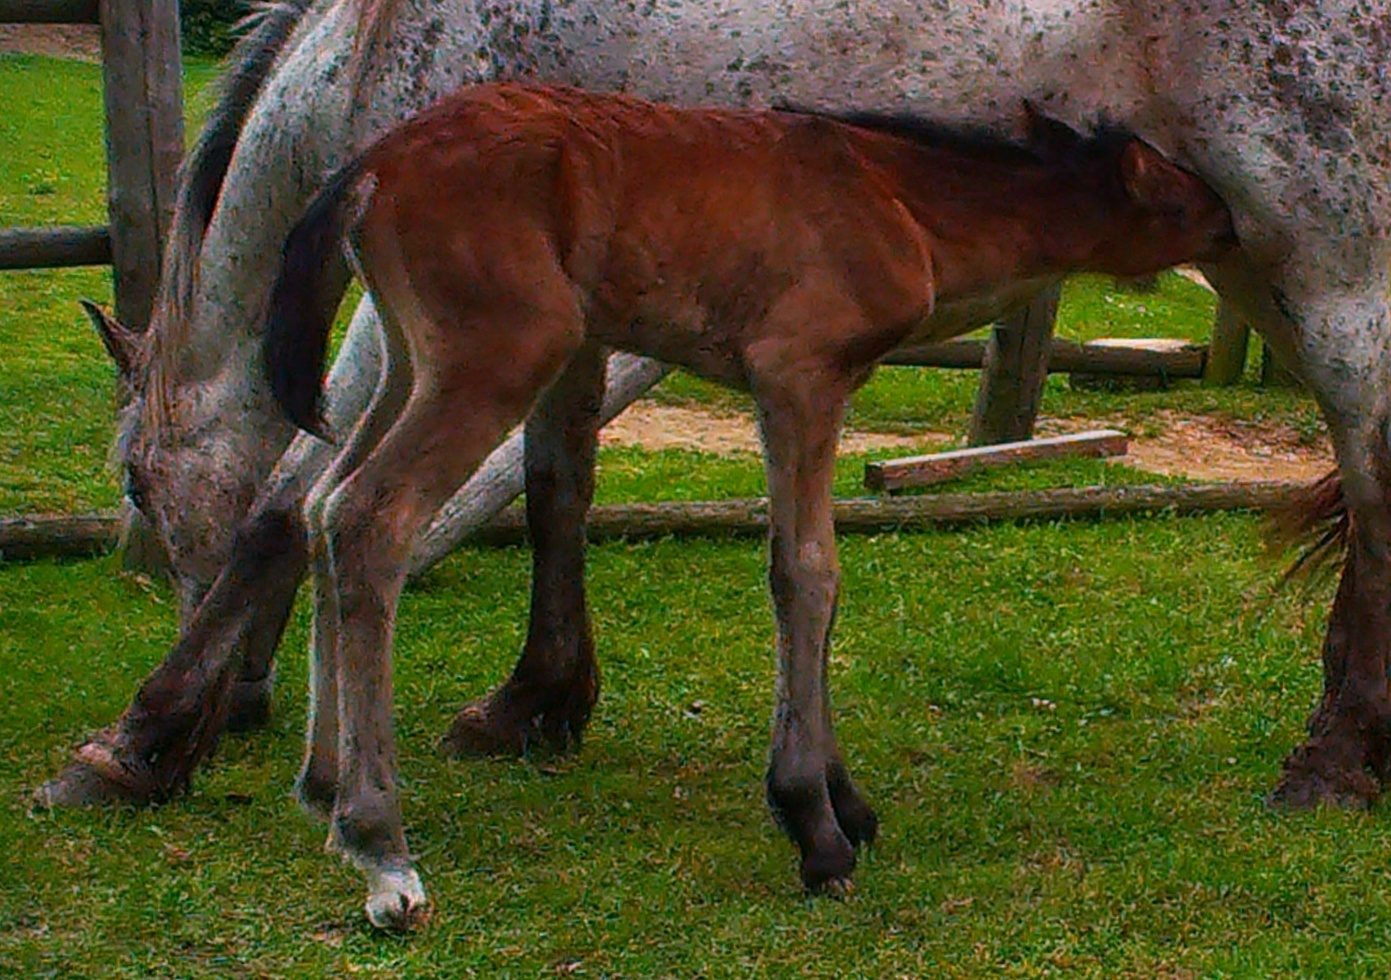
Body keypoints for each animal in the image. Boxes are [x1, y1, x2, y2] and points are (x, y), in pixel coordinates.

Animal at [262, 82, 1240, 923]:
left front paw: (846, 800)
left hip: (410, 354)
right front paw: (813, 823)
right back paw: (379, 845)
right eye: (1185, 197)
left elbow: (820, 579)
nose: (1236, 228)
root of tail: (372, 163)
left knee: (319, 502)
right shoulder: (796, 375)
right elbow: (805, 574)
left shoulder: (817, 385)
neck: (908, 206)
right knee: (372, 517)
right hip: (501, 351)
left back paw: (322, 785)